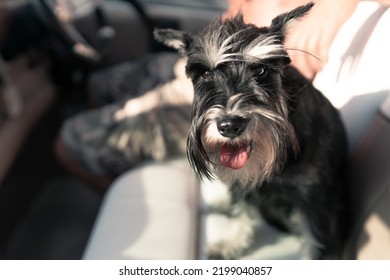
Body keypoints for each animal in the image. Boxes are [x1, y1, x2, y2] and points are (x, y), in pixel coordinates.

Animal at [155, 2, 348, 260]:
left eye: (260, 70)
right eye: (205, 74)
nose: (230, 125)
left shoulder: (315, 198)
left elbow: (316, 243)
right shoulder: (243, 184)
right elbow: (241, 210)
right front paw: (229, 242)